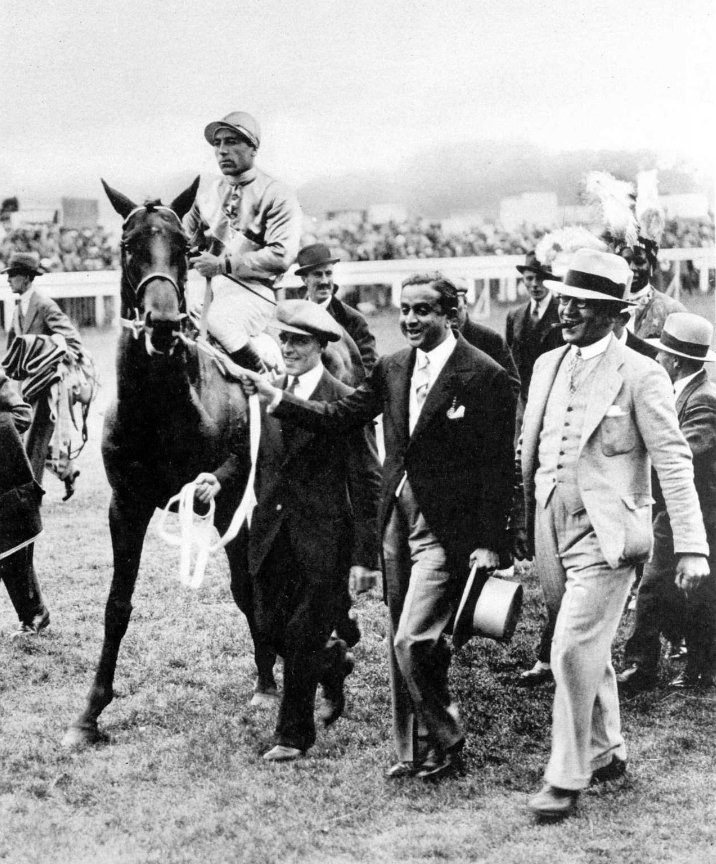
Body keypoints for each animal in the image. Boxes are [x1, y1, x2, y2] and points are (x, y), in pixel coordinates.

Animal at [60, 179, 274, 744]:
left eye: (183, 247)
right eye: (128, 244)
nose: (160, 323)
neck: (161, 408)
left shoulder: (226, 500)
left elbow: (245, 589)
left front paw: (267, 682)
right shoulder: (125, 506)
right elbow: (117, 604)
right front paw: (89, 713)